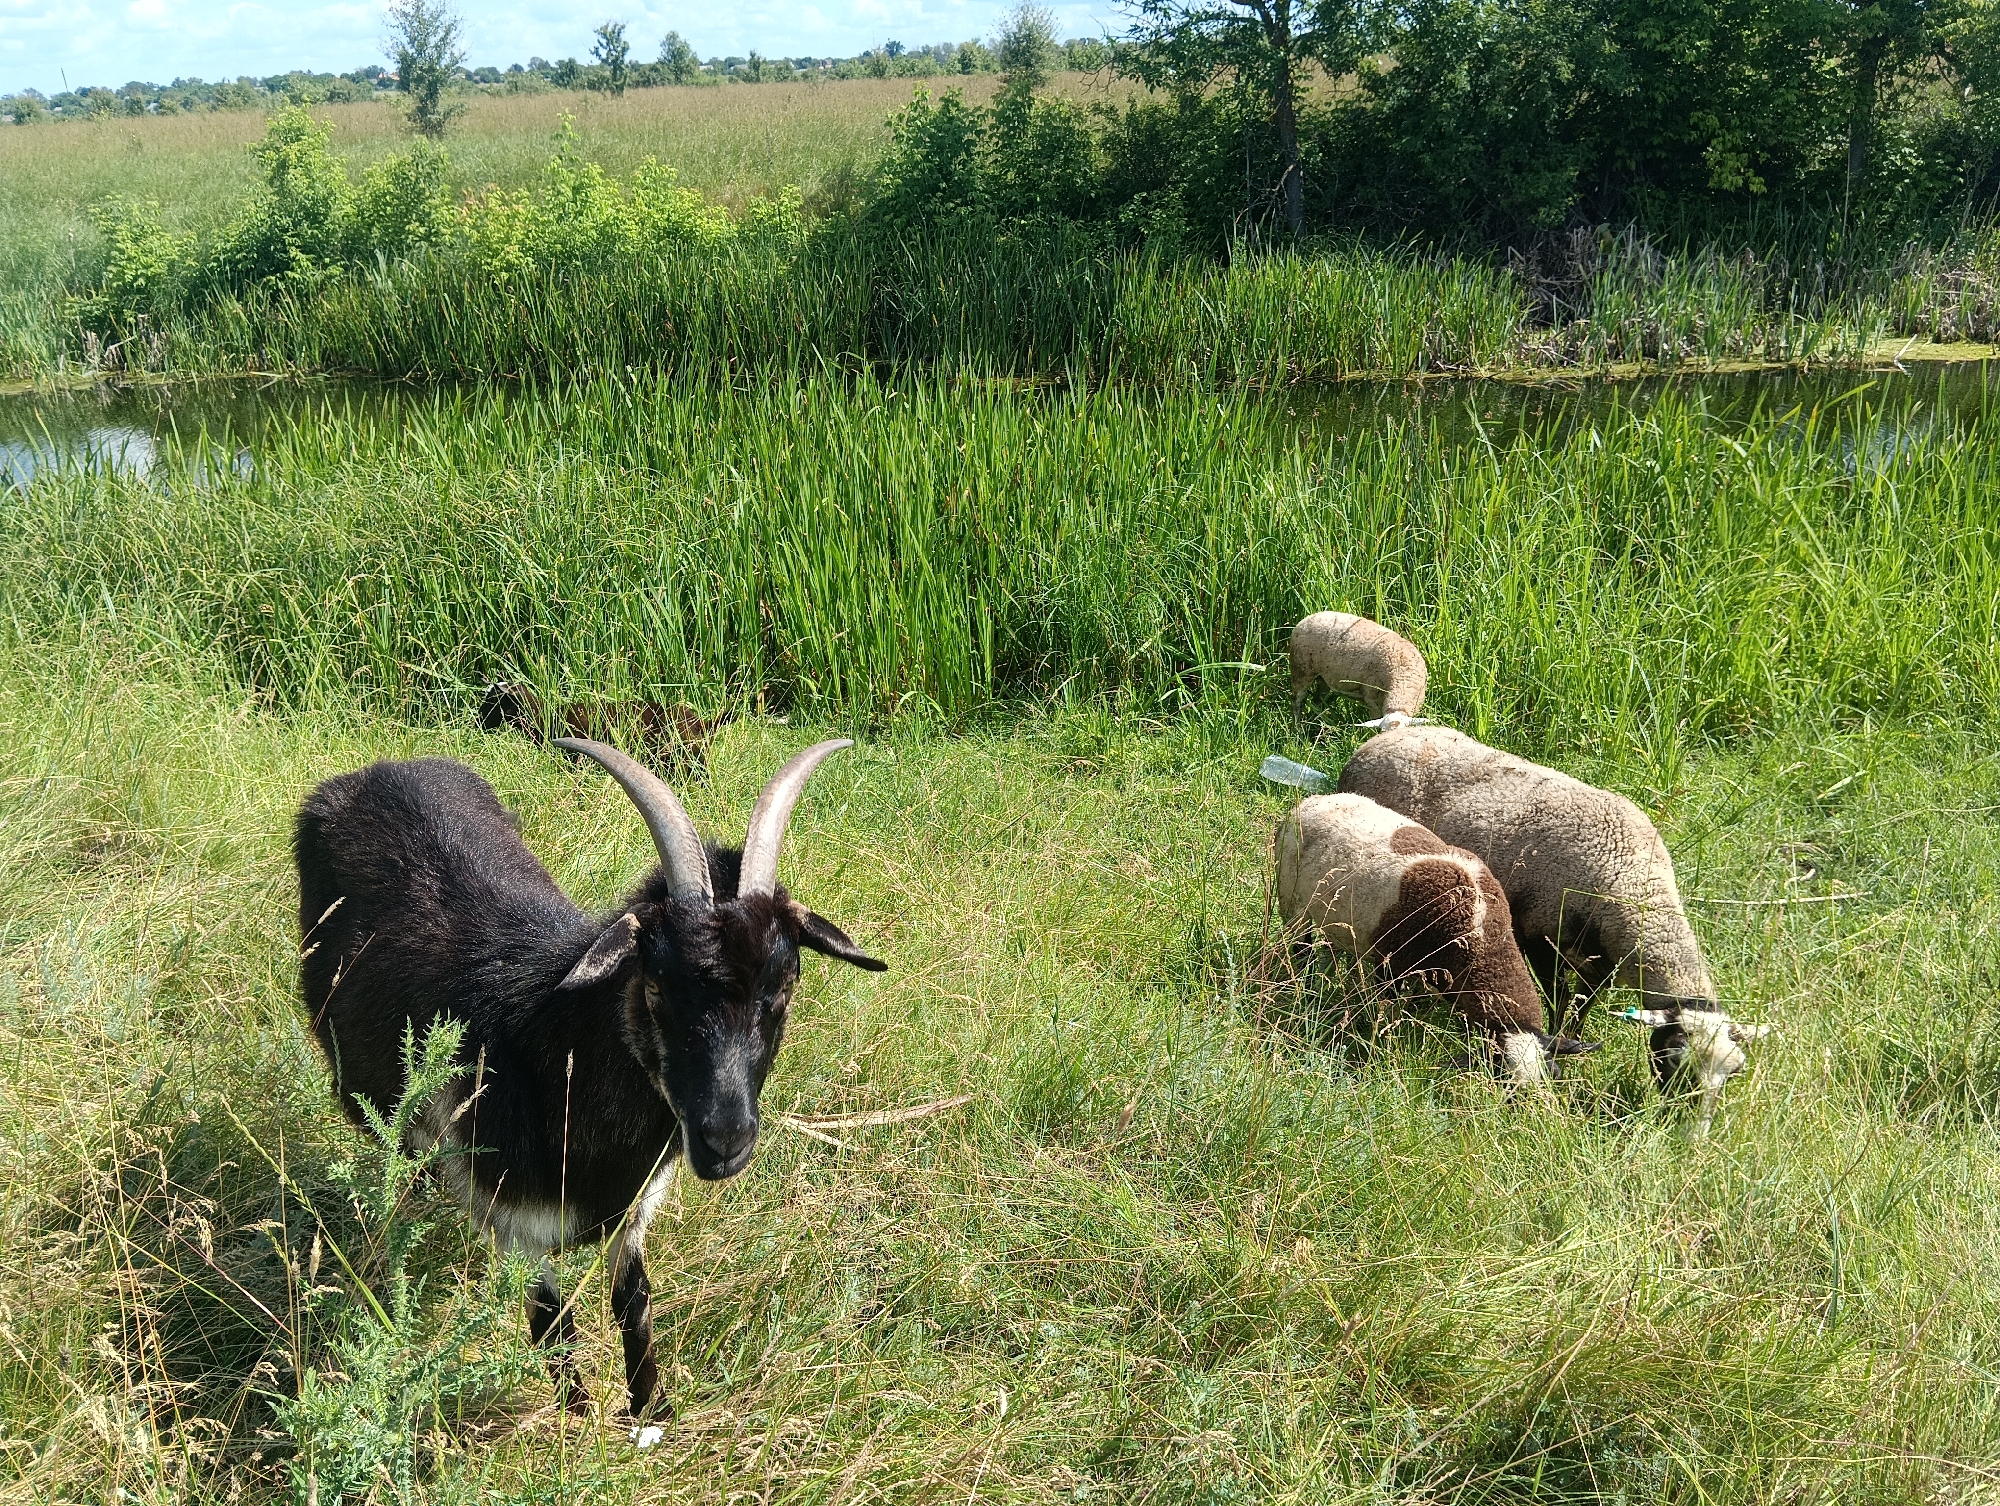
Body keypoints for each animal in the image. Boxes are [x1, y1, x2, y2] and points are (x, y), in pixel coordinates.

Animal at [294, 737, 886, 1420]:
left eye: (784, 988)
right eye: (655, 986)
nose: (725, 1140)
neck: (552, 1042)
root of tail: (374, 772)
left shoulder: (636, 1208)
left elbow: (634, 1303)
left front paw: (650, 1415)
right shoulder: (519, 1218)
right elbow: (553, 1324)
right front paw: (578, 1421)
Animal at [1275, 793, 1595, 1083]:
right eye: (1503, 1081)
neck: (1479, 934)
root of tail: (1312, 801)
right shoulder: (1391, 964)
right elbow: (1387, 1012)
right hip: (1292, 903)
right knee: (1300, 947)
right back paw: (1302, 986)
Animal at [1289, 612, 1428, 728]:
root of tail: (1306, 619)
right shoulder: (1372, 699)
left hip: (1322, 676)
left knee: (1318, 698)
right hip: (1301, 669)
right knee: (1296, 700)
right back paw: (1297, 728)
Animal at [1338, 725, 1768, 1130]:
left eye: (1733, 1074)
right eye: (1674, 1061)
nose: (1692, 1137)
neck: (1629, 877)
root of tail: (1381, 741)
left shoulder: (1601, 963)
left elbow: (1581, 1007)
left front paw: (1576, 1043)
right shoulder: (1540, 940)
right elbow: (1559, 1003)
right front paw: (1561, 1040)